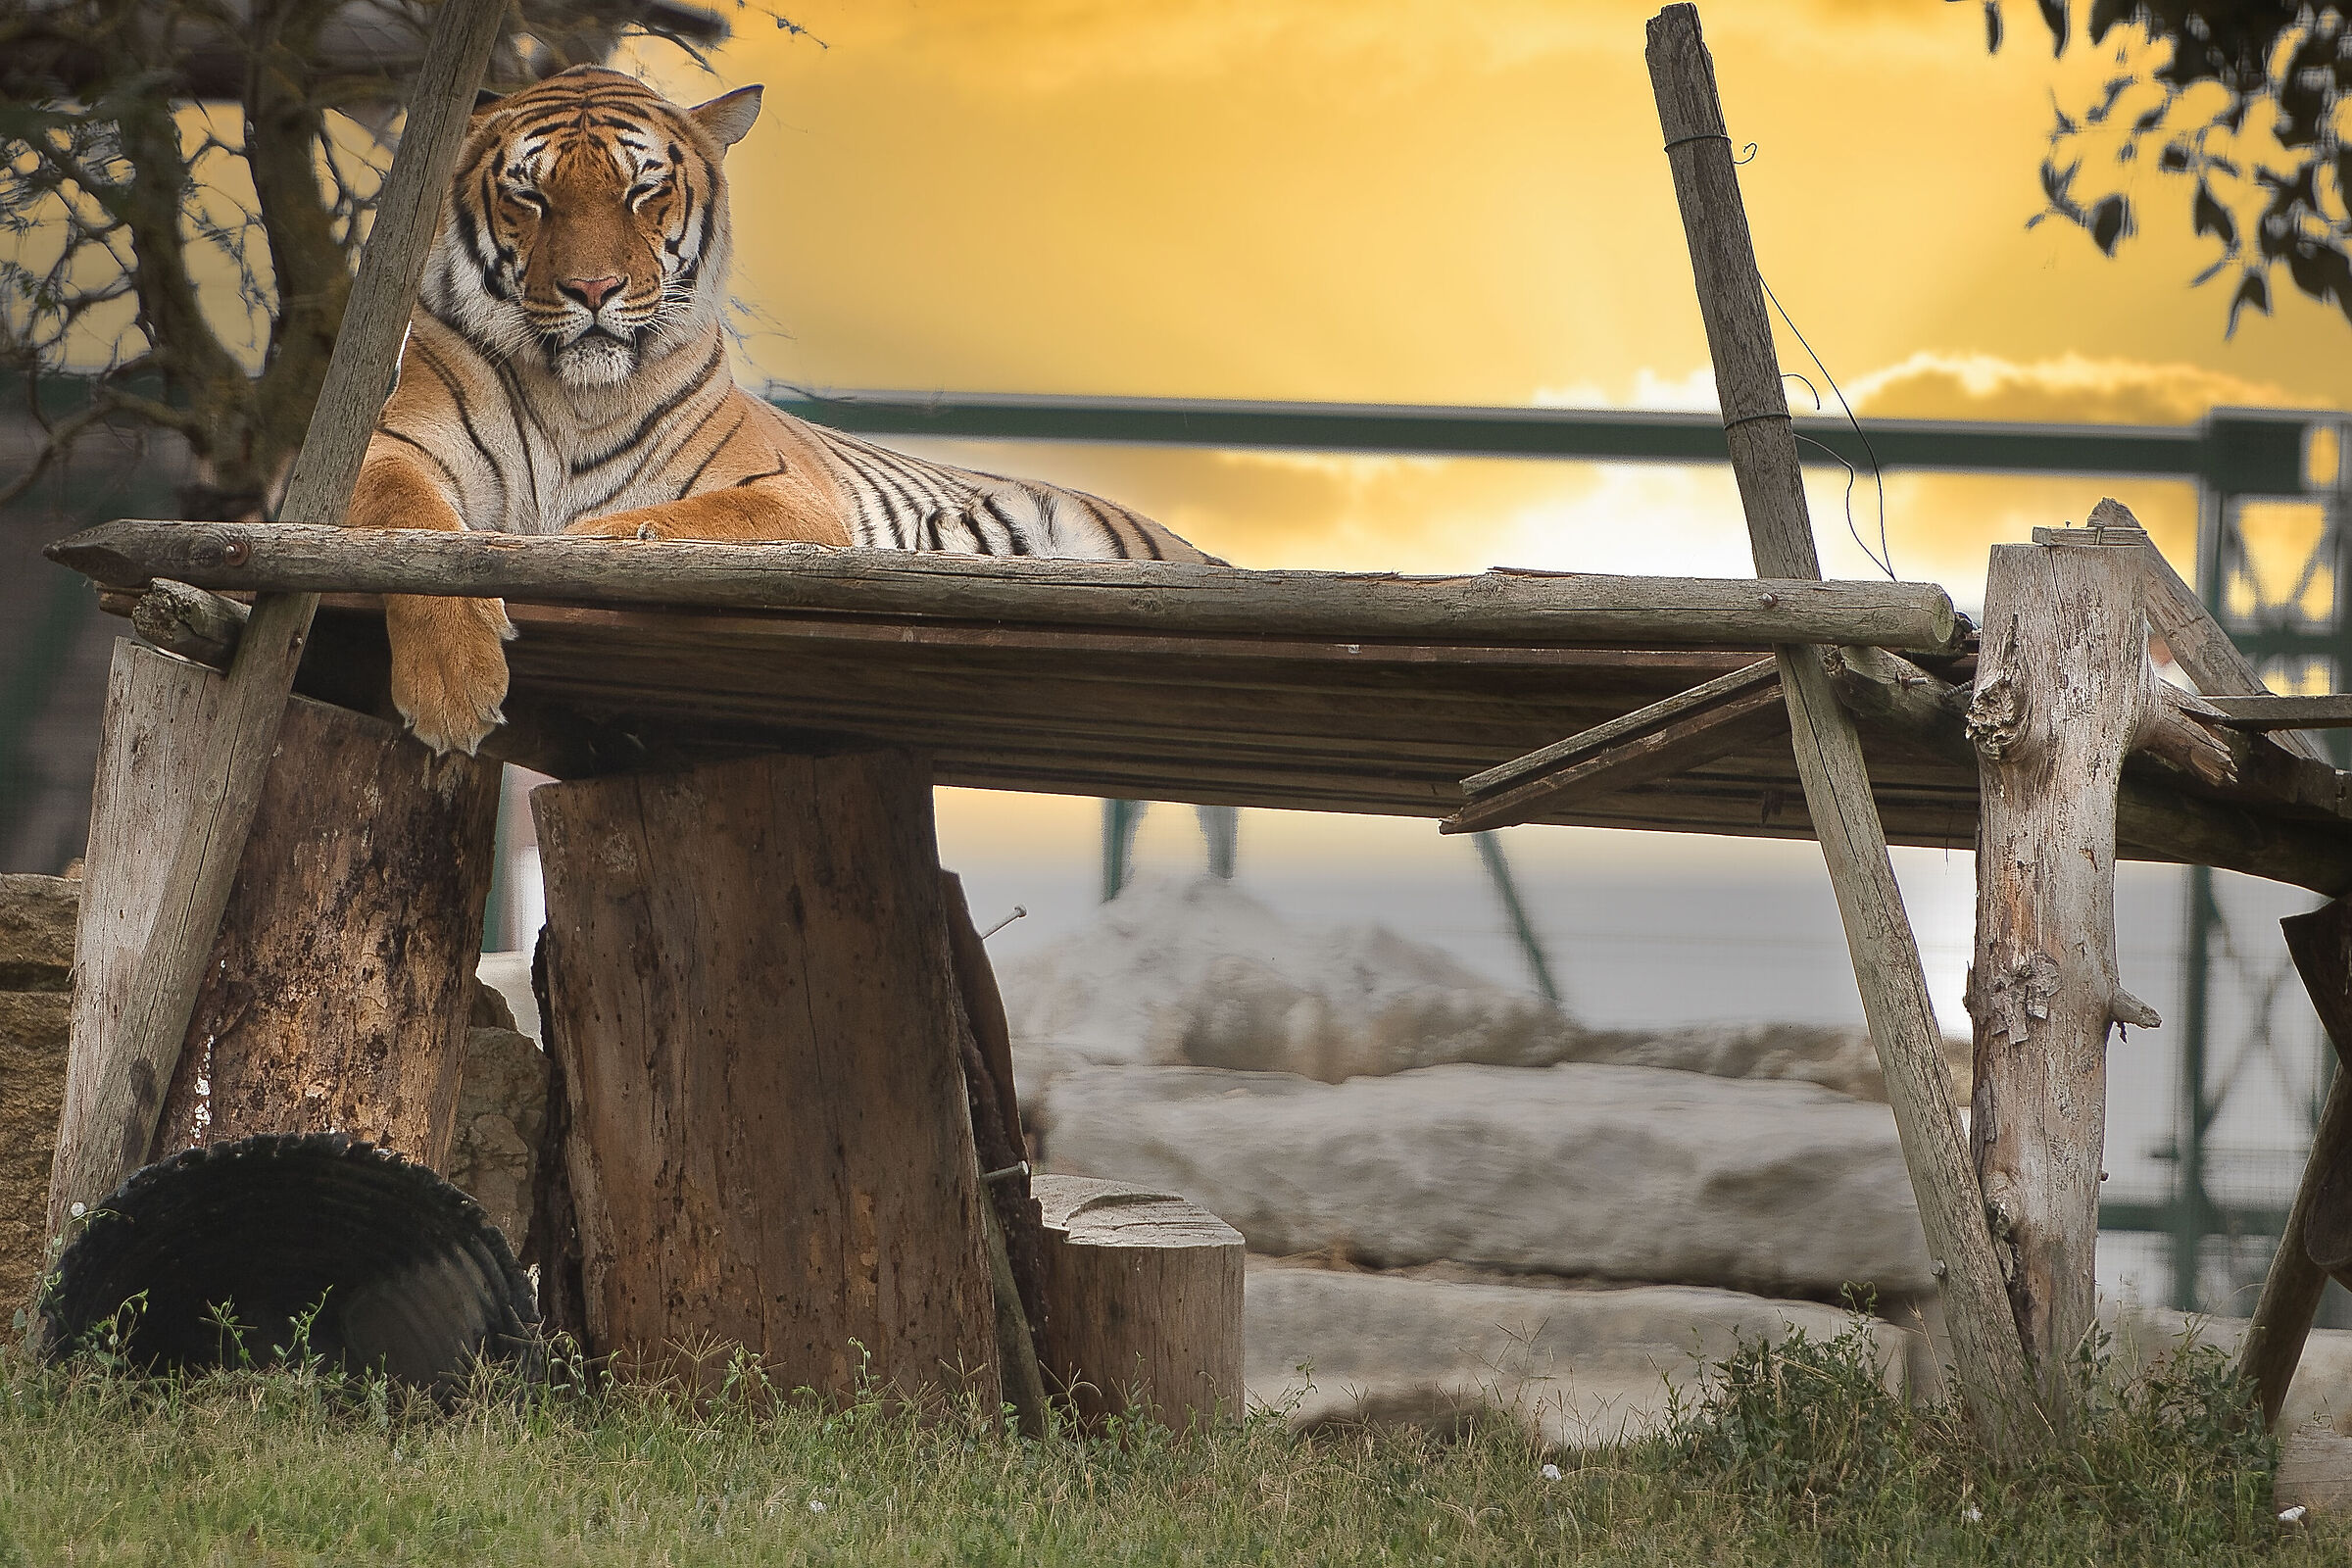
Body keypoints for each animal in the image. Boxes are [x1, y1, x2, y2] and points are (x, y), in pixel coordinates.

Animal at [352, 64, 1215, 757]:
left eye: (642, 191)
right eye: (530, 196)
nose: (593, 289)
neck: (578, 396)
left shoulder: (786, 496)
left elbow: (667, 520)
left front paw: (576, 542)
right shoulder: (393, 448)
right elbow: (411, 530)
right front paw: (452, 692)